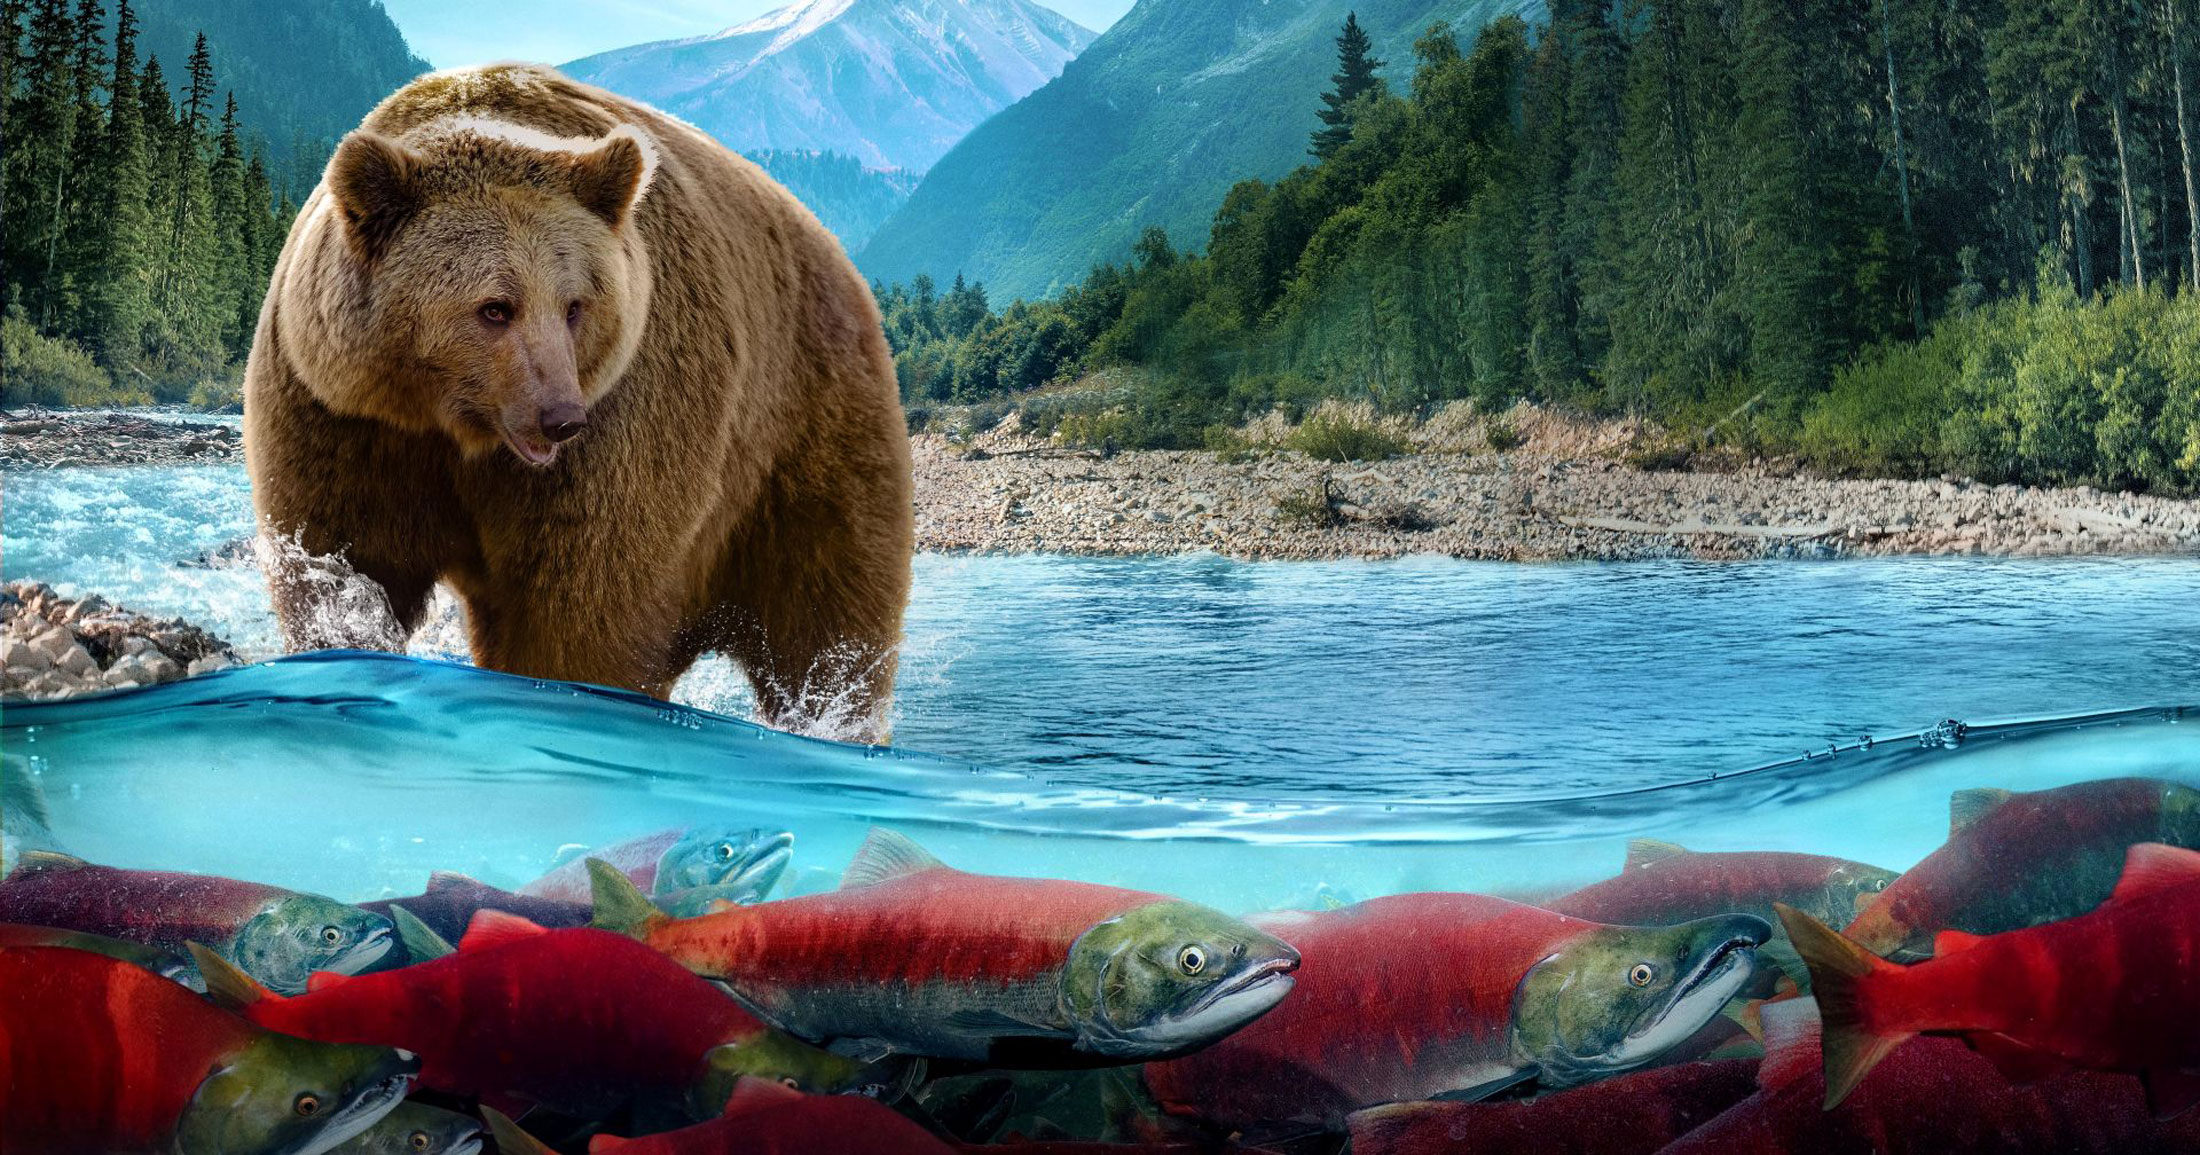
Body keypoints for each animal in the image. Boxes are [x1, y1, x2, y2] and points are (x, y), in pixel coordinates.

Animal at [243, 64, 913, 741]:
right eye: (495, 308)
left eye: (574, 305)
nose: (560, 418)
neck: (454, 426)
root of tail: (838, 256)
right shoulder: (343, 418)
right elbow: (341, 560)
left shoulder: (626, 415)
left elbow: (583, 598)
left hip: (806, 437)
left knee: (826, 614)